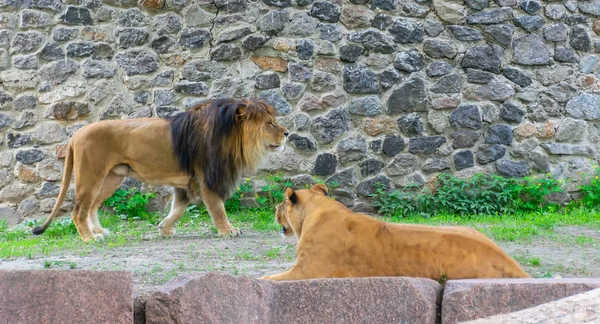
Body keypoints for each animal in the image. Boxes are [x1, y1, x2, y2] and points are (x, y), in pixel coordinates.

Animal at [32, 97, 290, 242]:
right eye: (270, 123)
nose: (287, 133)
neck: (231, 136)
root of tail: (76, 134)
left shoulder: (188, 182)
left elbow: (178, 208)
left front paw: (164, 229)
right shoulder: (206, 178)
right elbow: (218, 209)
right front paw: (229, 231)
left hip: (110, 178)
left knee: (92, 207)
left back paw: (98, 232)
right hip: (91, 176)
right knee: (78, 210)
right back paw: (88, 239)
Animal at [260, 185, 528, 280]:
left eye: (282, 203)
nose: (275, 209)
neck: (316, 211)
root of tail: (513, 265)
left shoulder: (309, 272)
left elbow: (267, 278)